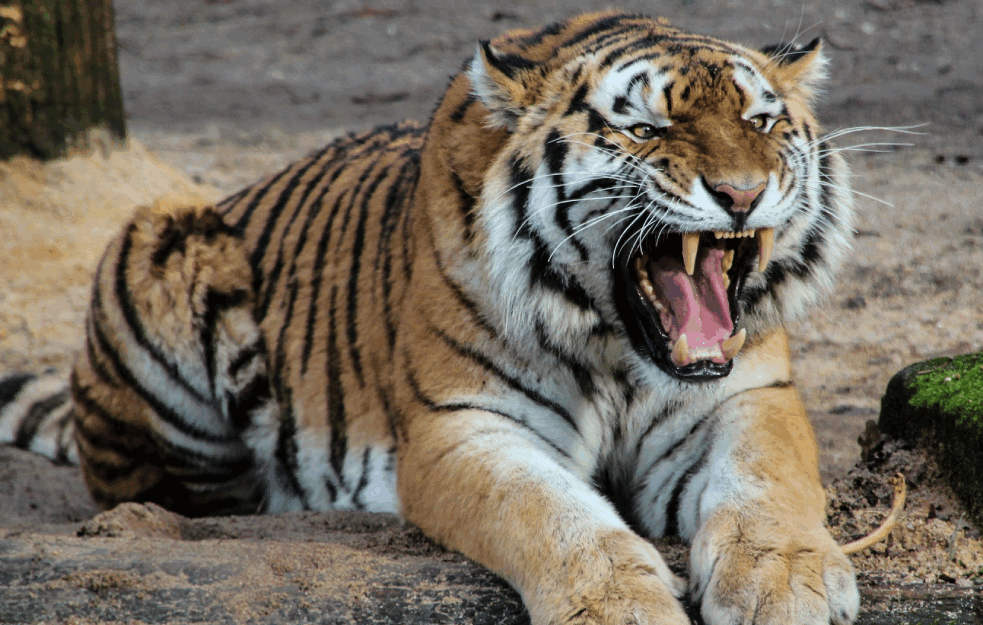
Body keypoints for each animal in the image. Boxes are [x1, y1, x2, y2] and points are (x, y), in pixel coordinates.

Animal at [0, 11, 860, 624]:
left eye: (759, 123)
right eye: (643, 129)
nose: (742, 193)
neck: (619, 347)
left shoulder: (747, 395)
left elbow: (769, 479)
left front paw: (786, 581)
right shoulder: (462, 425)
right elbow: (550, 513)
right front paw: (617, 604)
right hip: (160, 236)